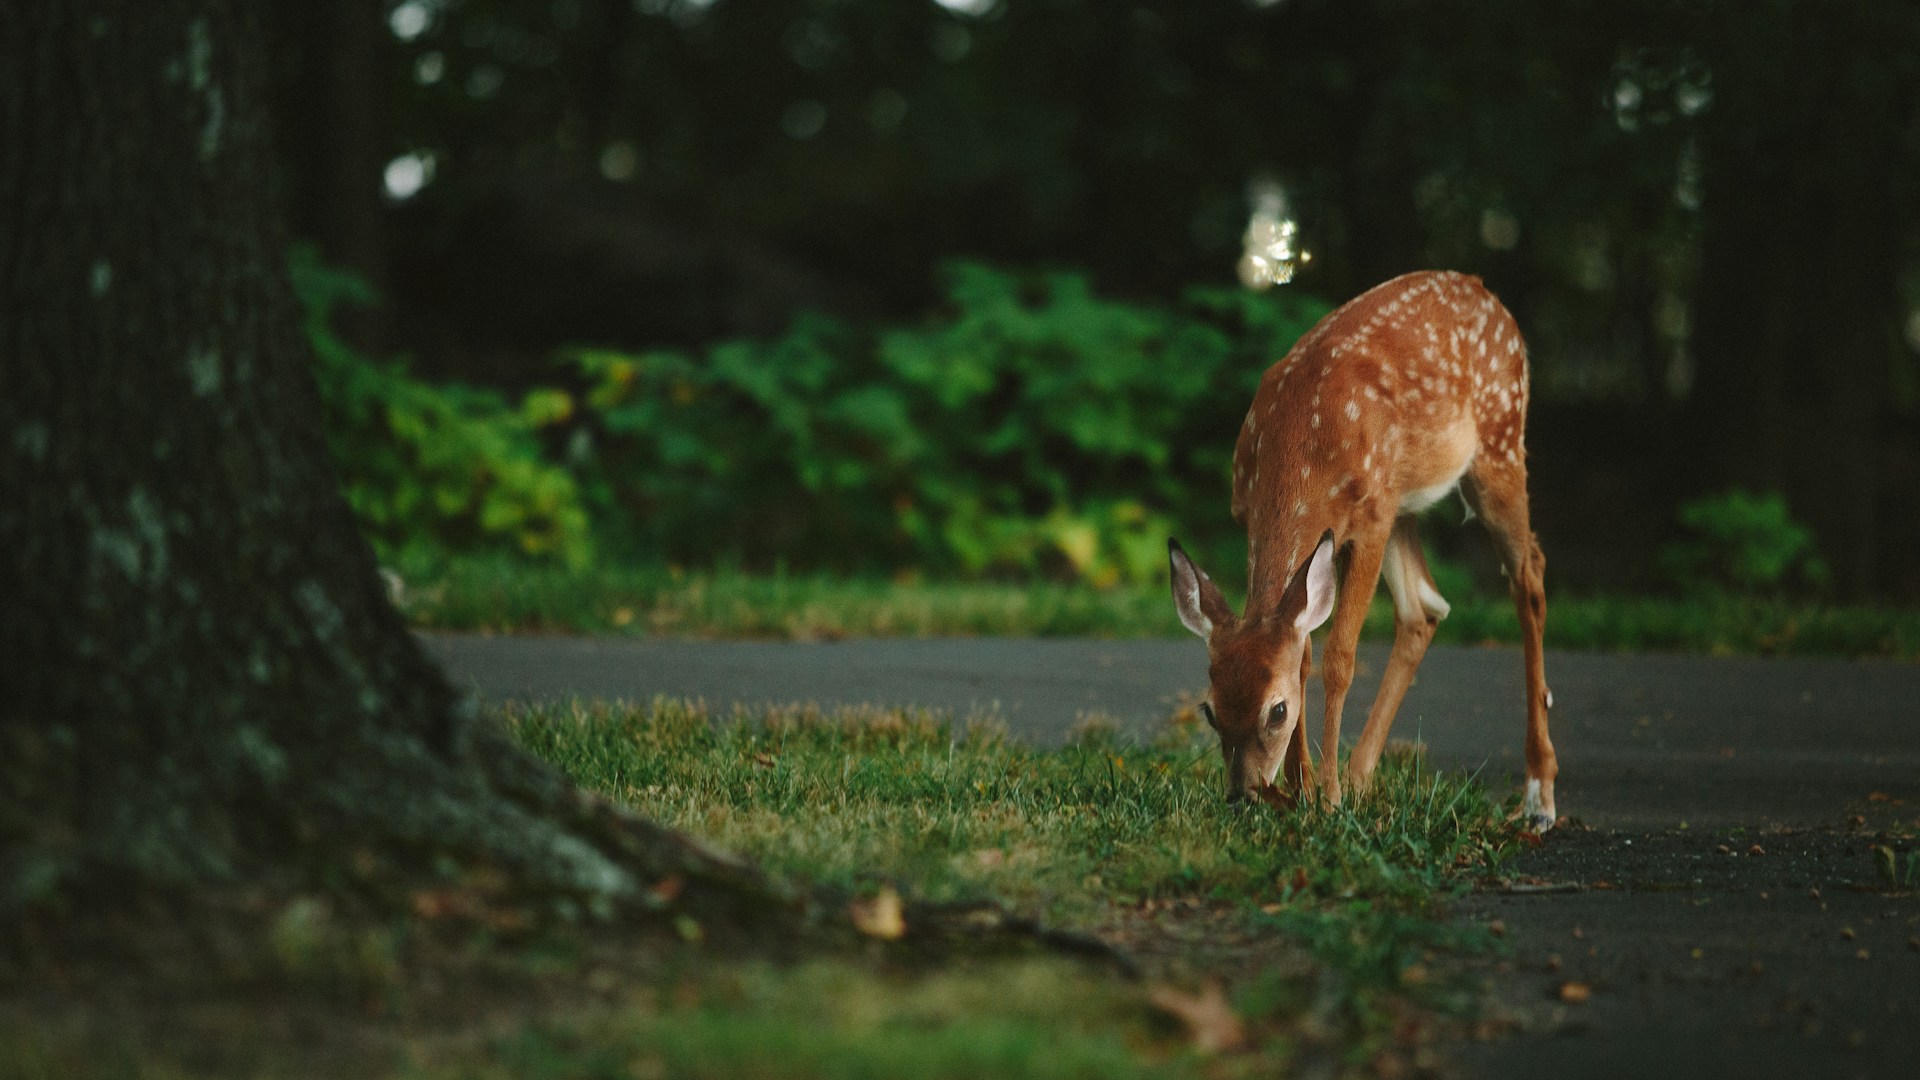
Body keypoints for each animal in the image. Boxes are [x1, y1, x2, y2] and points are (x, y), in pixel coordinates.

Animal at [1168, 270, 1559, 832]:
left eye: (1277, 711)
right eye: (1210, 710)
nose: (1243, 795)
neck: (1301, 446)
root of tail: (1486, 293)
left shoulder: (1370, 520)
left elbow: (1338, 659)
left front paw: (1325, 798)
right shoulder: (1264, 520)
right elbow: (1303, 652)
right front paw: (1303, 789)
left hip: (1498, 445)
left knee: (1529, 575)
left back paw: (1539, 796)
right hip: (1405, 502)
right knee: (1424, 607)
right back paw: (1360, 778)